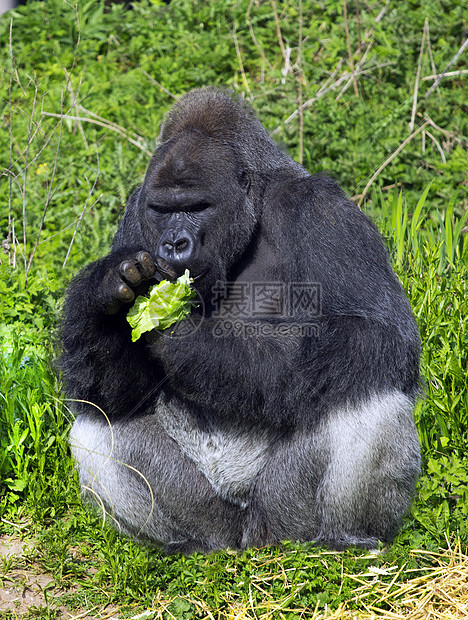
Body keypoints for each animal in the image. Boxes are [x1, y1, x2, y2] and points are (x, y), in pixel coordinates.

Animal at [60, 86, 422, 552]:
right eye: (161, 209)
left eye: (197, 207)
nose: (173, 244)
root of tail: (246, 541)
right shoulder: (135, 217)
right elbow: (117, 393)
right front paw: (106, 290)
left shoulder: (320, 209)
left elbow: (377, 330)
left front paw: (190, 341)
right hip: (216, 521)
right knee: (96, 422)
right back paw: (183, 543)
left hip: (282, 521)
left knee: (366, 391)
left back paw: (346, 538)